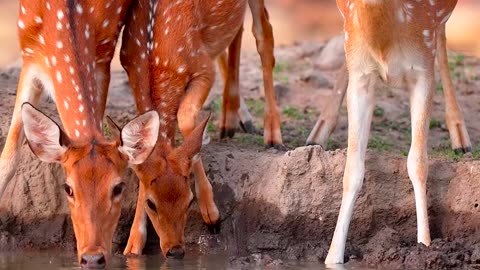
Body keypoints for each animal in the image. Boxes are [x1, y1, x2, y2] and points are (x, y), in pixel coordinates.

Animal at [0, 0, 161, 268]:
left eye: (118, 187)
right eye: (68, 188)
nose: (92, 257)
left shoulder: (103, 55)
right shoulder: (29, 54)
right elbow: (8, 160)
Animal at [118, 0, 280, 258]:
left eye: (189, 200)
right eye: (151, 203)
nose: (174, 250)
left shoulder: (203, 67)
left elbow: (185, 120)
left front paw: (211, 215)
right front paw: (133, 244)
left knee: (264, 36)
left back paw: (272, 134)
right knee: (238, 33)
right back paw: (229, 122)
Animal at [322, 0, 464, 264]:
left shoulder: (423, 66)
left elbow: (418, 163)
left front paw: (424, 246)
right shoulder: (360, 69)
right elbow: (352, 169)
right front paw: (333, 257)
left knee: (443, 38)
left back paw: (460, 138)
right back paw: (318, 132)